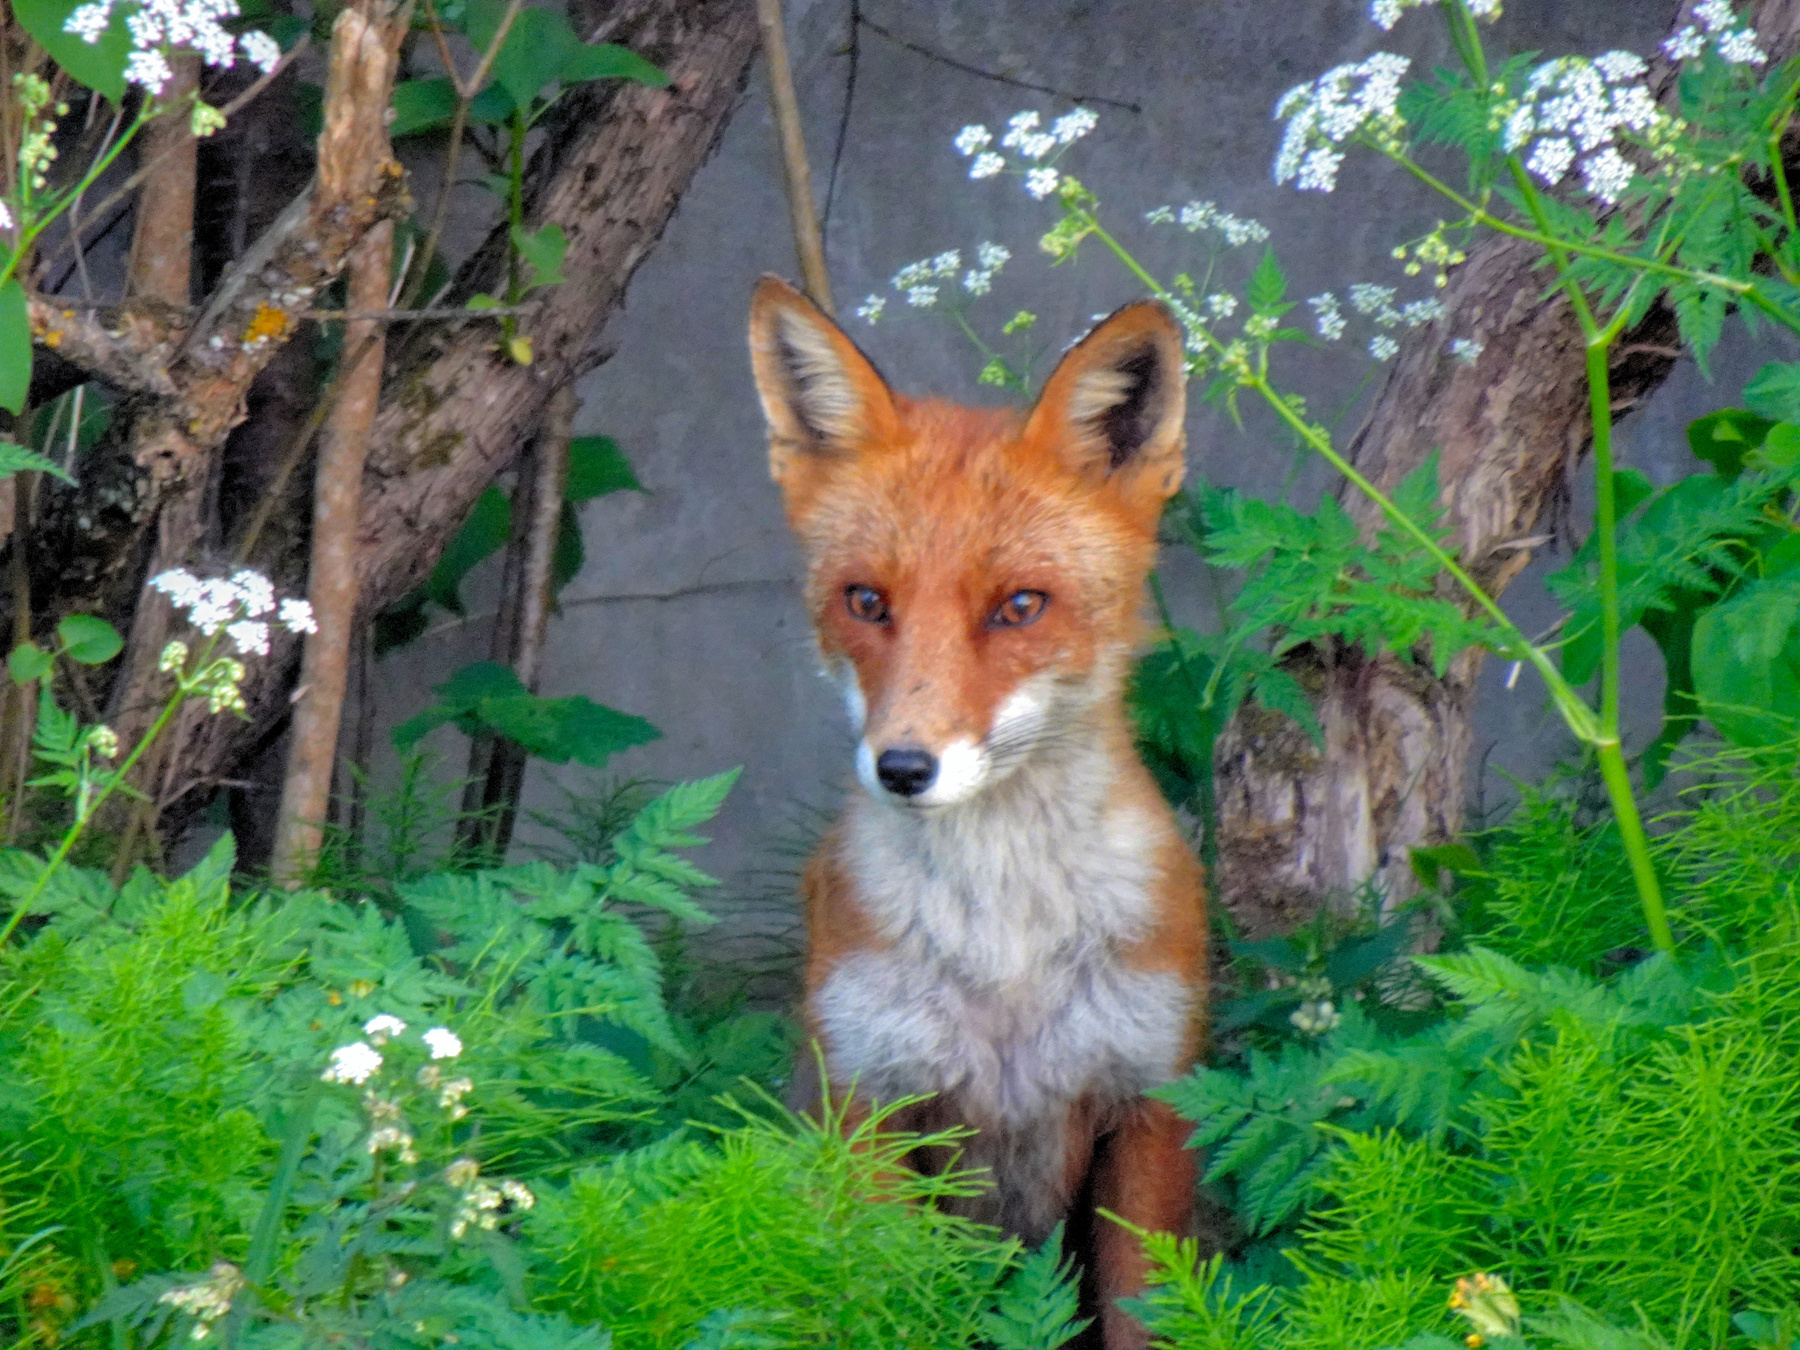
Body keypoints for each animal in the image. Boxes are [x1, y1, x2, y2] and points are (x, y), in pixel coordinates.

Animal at [747, 274, 1209, 1349]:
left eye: (1020, 606)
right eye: (865, 600)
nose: (903, 767)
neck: (1007, 951)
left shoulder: (1150, 1108)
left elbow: (1140, 1313)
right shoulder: (871, 1102)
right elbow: (886, 1305)